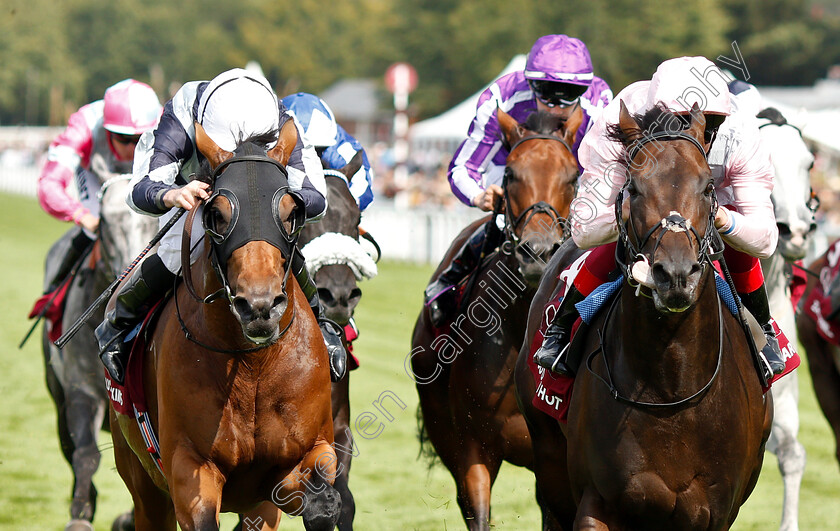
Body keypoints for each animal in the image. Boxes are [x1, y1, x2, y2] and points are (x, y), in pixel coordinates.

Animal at [39, 161, 155, 531]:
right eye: (105, 220)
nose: (132, 276)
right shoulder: (80, 391)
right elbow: (86, 454)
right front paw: (80, 515)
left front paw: (126, 518)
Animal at [110, 121, 342, 531]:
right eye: (216, 213)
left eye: (290, 211)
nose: (260, 306)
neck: (253, 366)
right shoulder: (189, 469)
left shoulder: (306, 455)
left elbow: (315, 493)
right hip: (143, 482)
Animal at [512, 103, 776, 528]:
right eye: (634, 188)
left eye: (707, 187)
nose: (675, 274)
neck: (672, 388)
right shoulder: (598, 501)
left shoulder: (717, 511)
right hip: (549, 455)